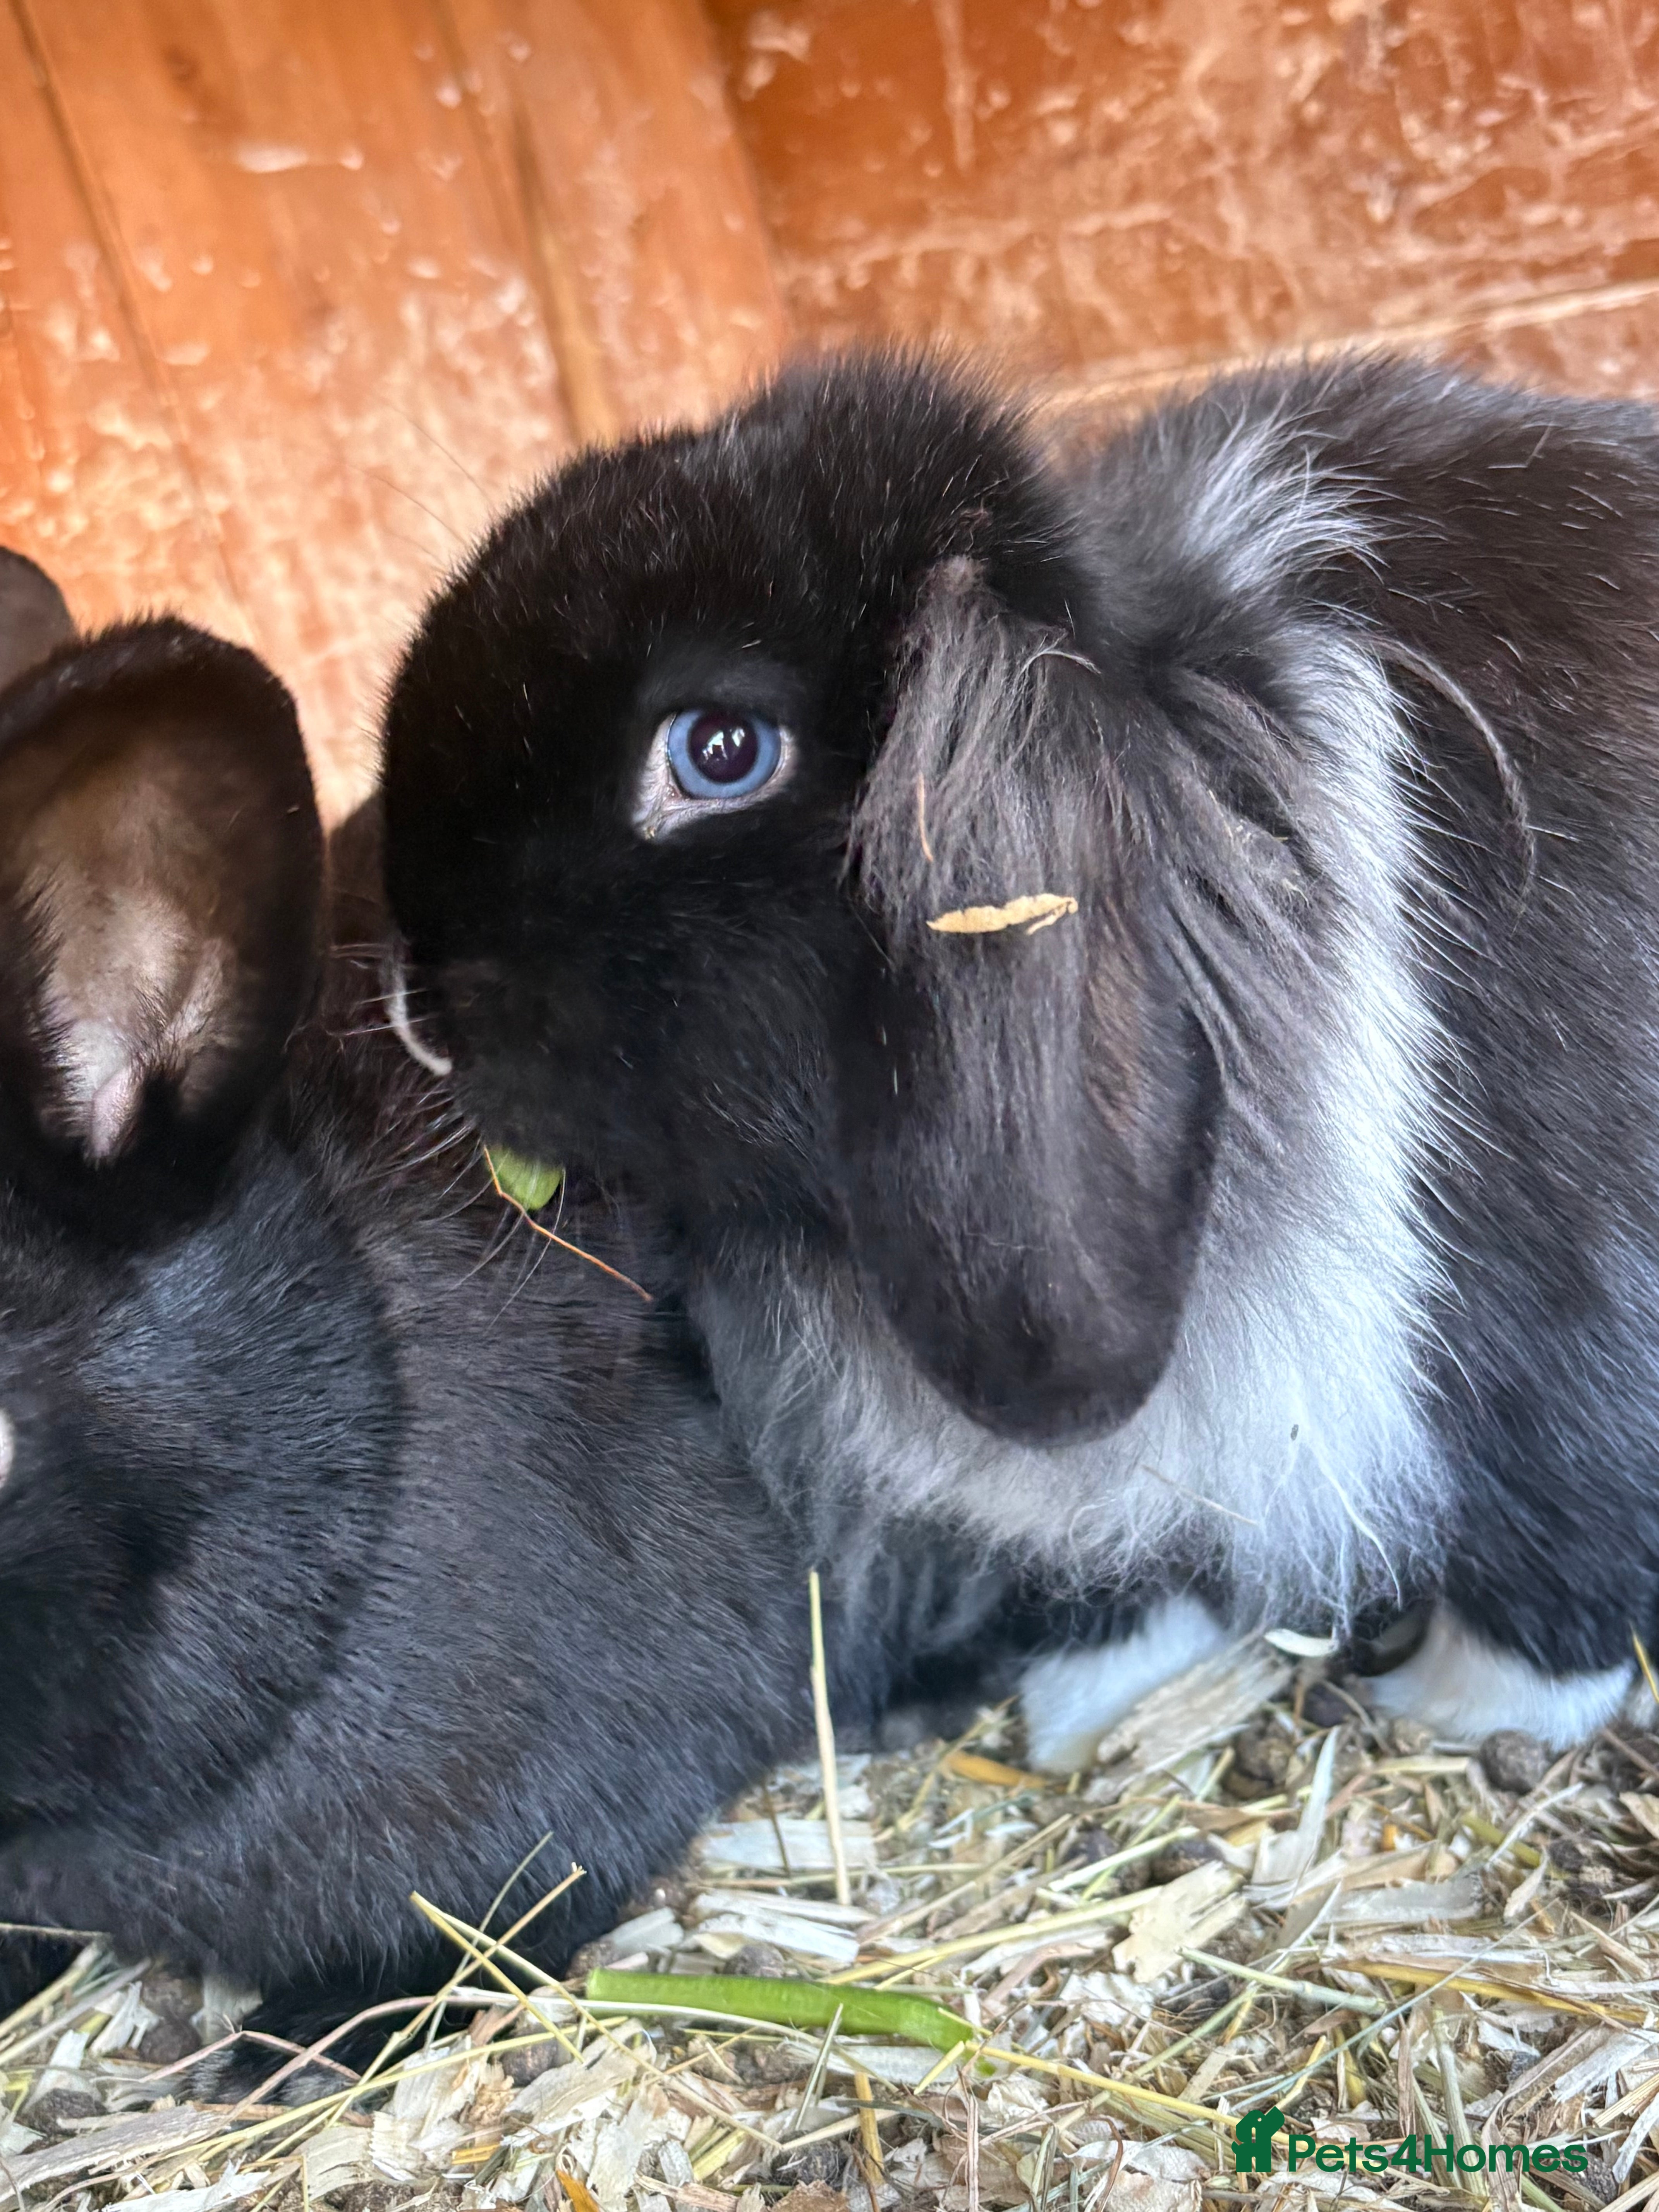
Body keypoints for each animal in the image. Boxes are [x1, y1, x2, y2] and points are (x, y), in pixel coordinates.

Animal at [374, 349, 1659, 1762]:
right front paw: (1088, 1702)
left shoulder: (1563, 1330)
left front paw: (1448, 1711)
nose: (419, 1013)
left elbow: (1555, 1558)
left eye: (718, 752)